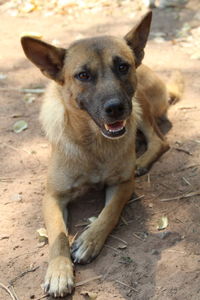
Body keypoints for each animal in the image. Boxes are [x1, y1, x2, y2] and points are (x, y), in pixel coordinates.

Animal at [21, 11, 184, 298]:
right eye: (83, 75)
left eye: (122, 67)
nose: (115, 108)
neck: (93, 145)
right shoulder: (52, 196)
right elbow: (58, 236)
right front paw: (59, 272)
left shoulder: (123, 184)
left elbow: (109, 213)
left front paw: (89, 240)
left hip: (139, 103)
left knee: (159, 140)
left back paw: (140, 161)